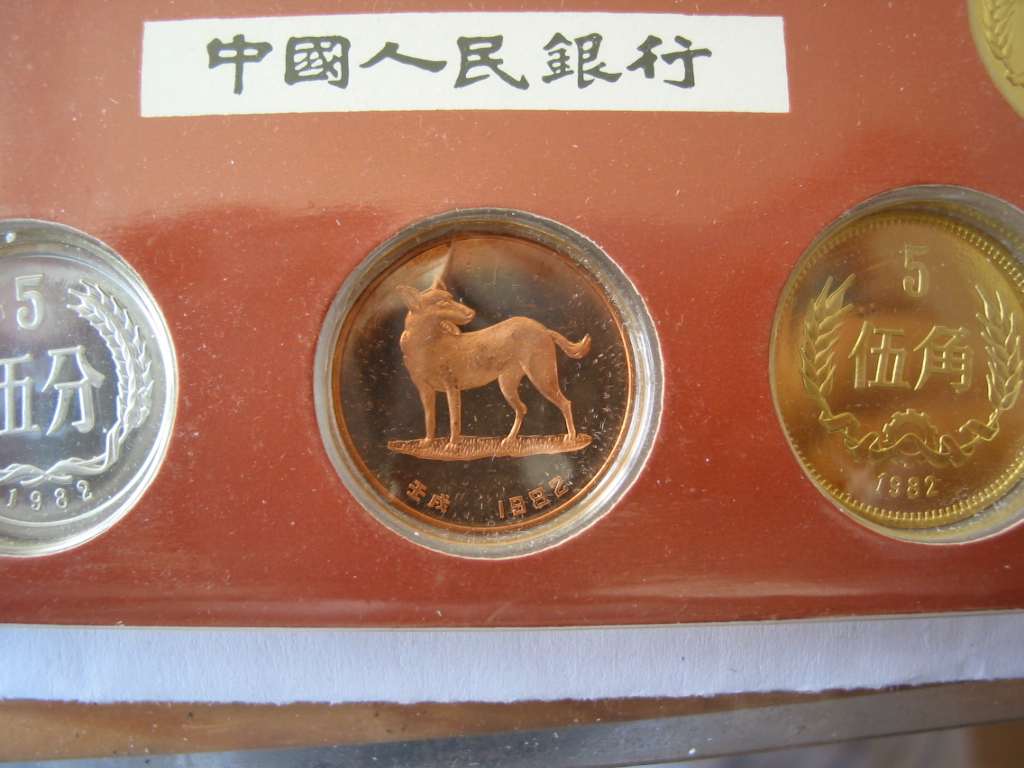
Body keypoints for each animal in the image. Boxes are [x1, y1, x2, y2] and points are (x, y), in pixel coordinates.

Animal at [398, 276, 591, 447]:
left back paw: (571, 437)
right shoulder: (425, 390)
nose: (471, 313)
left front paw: (452, 445)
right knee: (522, 408)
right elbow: (430, 419)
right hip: (508, 383)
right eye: (443, 303)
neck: (426, 345)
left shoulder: (452, 388)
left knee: (565, 403)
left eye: (451, 299)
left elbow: (454, 421)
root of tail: (544, 329)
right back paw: (510, 440)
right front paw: (428, 442)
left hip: (541, 376)